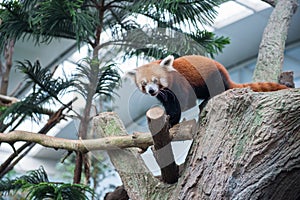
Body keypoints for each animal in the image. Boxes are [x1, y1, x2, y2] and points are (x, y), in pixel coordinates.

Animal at [127, 54, 290, 126]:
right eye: (144, 84)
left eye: (156, 80)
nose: (151, 91)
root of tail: (226, 75)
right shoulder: (163, 94)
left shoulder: (180, 84)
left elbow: (184, 103)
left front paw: (172, 119)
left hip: (213, 76)